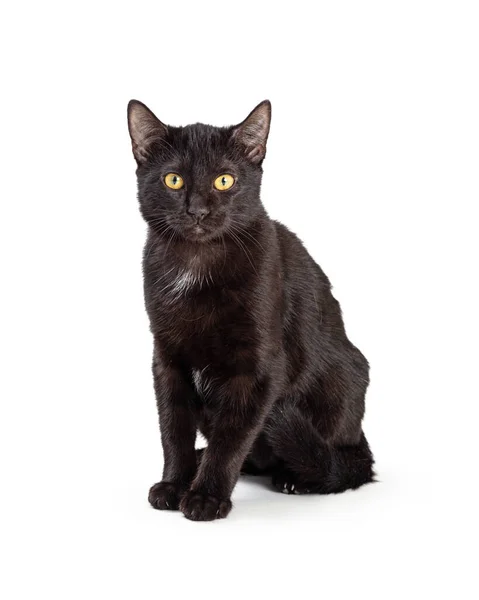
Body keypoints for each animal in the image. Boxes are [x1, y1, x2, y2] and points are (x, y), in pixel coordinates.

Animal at [127, 99, 376, 520]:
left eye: (224, 181)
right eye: (173, 180)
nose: (197, 211)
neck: (196, 265)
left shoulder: (257, 369)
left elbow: (232, 437)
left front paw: (206, 498)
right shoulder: (167, 358)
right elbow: (173, 428)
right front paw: (175, 484)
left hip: (342, 380)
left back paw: (296, 477)